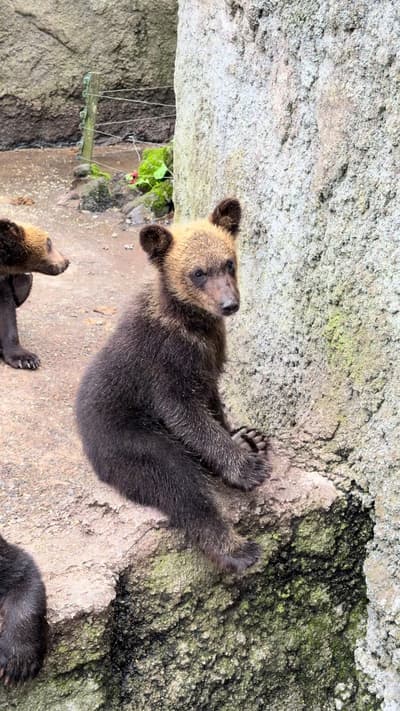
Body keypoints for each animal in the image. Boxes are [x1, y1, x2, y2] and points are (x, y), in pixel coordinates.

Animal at [76, 198, 269, 573]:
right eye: (198, 272)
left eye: (229, 262)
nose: (229, 304)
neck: (192, 324)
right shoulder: (163, 365)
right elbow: (187, 414)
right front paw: (247, 466)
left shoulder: (210, 359)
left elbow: (212, 401)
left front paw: (245, 436)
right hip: (127, 436)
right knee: (175, 481)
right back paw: (238, 548)